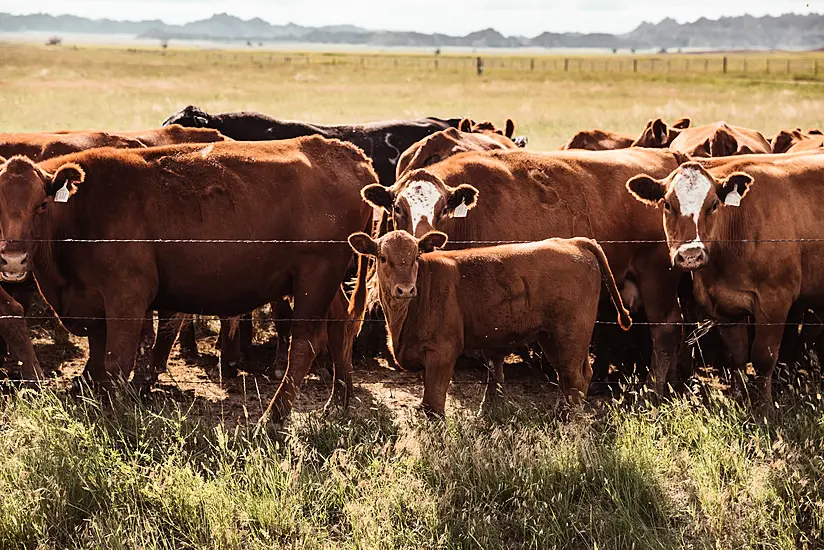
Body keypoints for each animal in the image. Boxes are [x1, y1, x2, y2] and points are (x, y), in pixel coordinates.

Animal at [0, 138, 374, 422]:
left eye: (41, 205)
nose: (13, 259)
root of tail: (346, 152)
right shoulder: (93, 306)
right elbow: (97, 361)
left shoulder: (127, 298)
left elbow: (115, 363)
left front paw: (114, 417)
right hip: (326, 282)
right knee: (339, 324)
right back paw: (338, 402)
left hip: (315, 277)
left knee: (305, 343)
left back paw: (273, 418)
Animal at [348, 231, 632, 416]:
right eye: (383, 258)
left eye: (417, 256)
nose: (405, 289)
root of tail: (573, 242)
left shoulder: (442, 353)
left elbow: (433, 404)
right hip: (551, 337)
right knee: (572, 377)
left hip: (570, 334)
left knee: (575, 379)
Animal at [360, 149, 688, 394]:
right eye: (398, 208)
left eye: (443, 209)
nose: (422, 246)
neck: (472, 218)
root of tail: (668, 155)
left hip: (657, 277)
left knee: (666, 327)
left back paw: (654, 390)